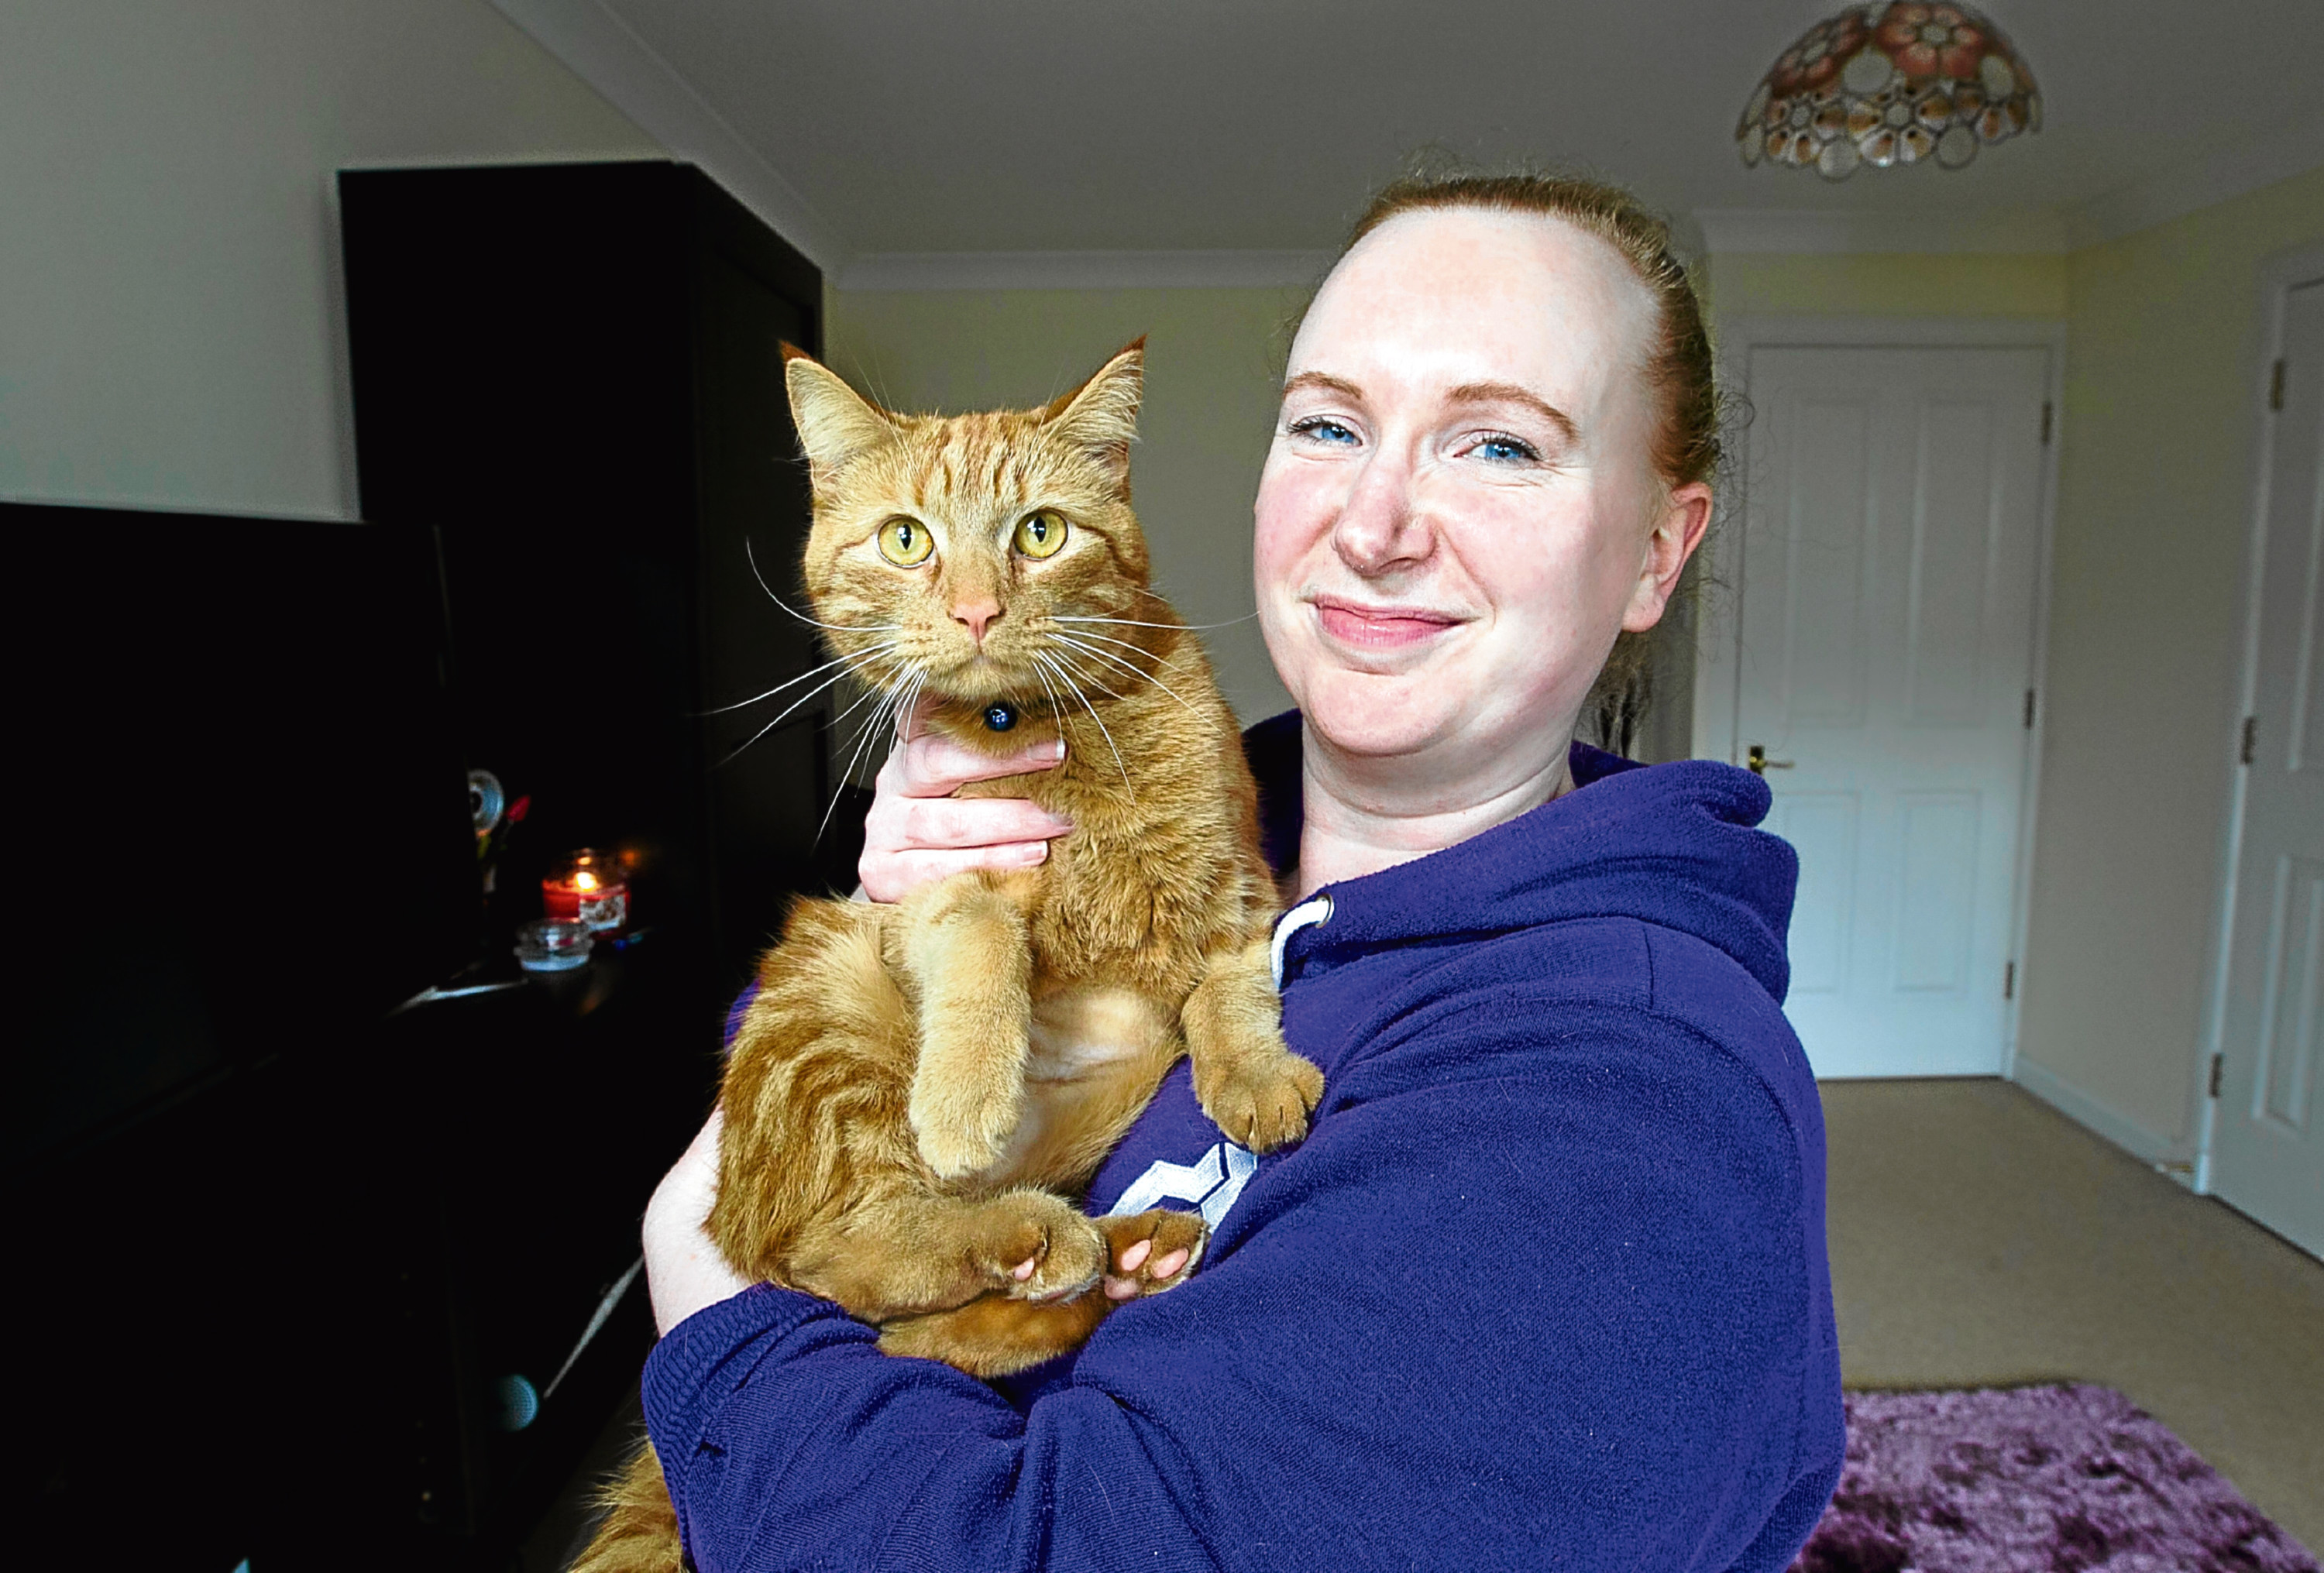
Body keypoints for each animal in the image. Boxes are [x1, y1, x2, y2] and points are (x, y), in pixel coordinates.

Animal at [576, 337, 1329, 1561]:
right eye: (906, 540)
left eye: (1040, 532)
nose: (977, 611)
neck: (1033, 730)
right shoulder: (921, 894)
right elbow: (980, 938)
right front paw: (967, 1089)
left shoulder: (1233, 888)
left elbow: (1232, 992)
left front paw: (1255, 1078)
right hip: (829, 994)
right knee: (850, 1257)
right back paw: (1032, 1233)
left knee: (899, 1327)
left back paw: (1117, 1260)